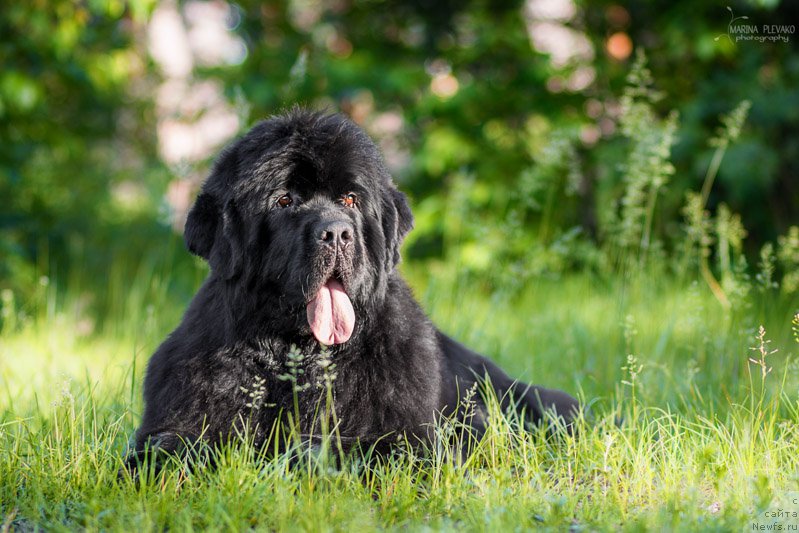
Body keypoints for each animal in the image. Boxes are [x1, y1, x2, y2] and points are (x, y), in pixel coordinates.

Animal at [130, 108, 580, 466]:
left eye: (350, 199)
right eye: (284, 200)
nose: (336, 233)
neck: (299, 357)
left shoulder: (405, 436)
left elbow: (345, 447)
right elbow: (166, 449)